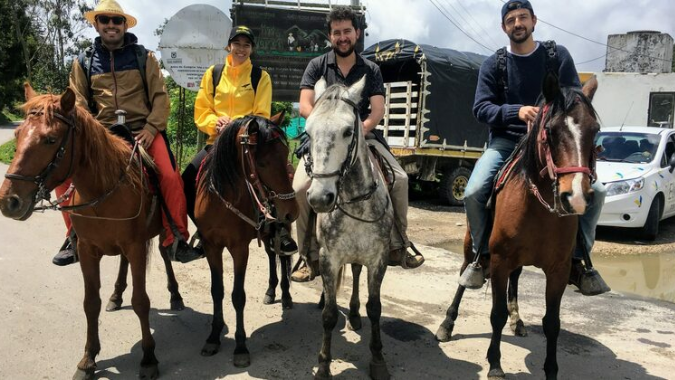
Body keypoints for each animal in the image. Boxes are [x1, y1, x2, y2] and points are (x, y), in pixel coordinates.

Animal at [0, 84, 185, 378]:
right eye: (18, 135)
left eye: (50, 139)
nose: (10, 201)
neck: (104, 189)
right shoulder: (87, 249)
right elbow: (90, 303)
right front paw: (88, 358)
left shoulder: (135, 246)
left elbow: (141, 301)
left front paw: (148, 358)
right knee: (122, 266)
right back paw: (116, 295)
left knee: (166, 254)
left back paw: (175, 295)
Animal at [193, 113, 298, 368]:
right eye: (262, 163)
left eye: (285, 153)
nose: (291, 211)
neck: (221, 202)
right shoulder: (212, 247)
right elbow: (217, 291)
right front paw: (213, 337)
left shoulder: (239, 249)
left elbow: (238, 296)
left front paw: (240, 347)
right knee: (271, 255)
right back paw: (270, 291)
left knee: (282, 257)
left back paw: (286, 296)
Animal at [306, 75, 396, 378]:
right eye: (308, 132)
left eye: (348, 131)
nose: (320, 198)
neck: (355, 202)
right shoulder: (329, 258)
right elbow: (329, 314)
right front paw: (323, 364)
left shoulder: (378, 258)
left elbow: (375, 307)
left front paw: (378, 360)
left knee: (356, 273)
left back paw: (355, 315)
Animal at [438, 75, 604, 380]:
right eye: (550, 130)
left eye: (595, 130)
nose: (575, 196)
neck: (540, 207)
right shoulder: (500, 260)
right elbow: (497, 314)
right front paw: (495, 364)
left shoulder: (558, 269)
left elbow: (552, 323)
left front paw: (551, 370)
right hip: (471, 247)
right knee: (463, 277)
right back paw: (447, 323)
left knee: (514, 284)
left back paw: (518, 320)